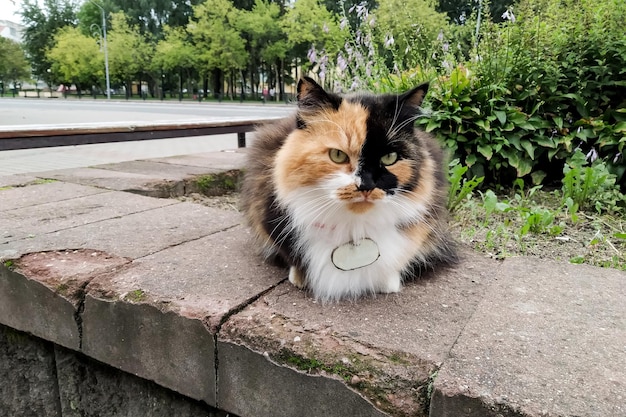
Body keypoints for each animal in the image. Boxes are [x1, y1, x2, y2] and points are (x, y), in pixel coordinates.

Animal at [239, 76, 454, 300]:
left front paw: (389, 283)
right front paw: (299, 278)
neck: (354, 227)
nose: (366, 185)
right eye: (338, 155)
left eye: (390, 158)